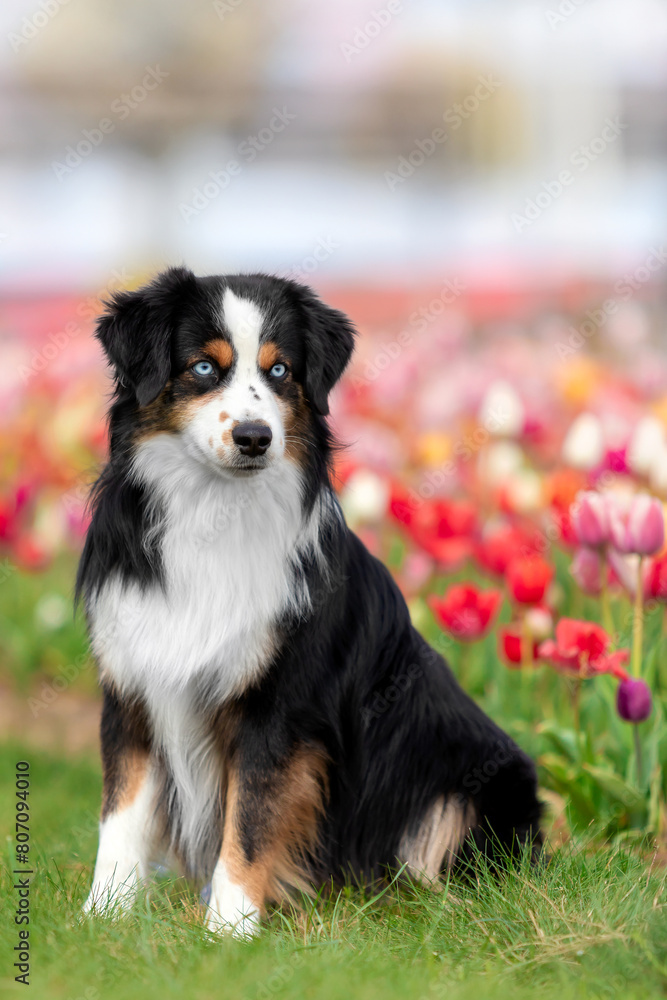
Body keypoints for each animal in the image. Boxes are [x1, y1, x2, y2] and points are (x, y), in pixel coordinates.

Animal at [78, 268, 544, 936]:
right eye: (202, 367)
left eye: (279, 370)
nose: (254, 438)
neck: (213, 512)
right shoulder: (133, 686)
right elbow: (120, 817)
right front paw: (102, 916)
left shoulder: (282, 707)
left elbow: (249, 820)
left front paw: (229, 926)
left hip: (480, 781)